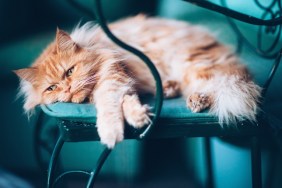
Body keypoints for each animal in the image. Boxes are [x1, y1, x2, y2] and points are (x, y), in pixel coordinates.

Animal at [13, 14, 260, 148]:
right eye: (52, 88)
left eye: (70, 71)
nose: (67, 88)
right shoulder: (123, 83)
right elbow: (126, 101)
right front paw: (138, 115)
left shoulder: (112, 77)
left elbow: (109, 107)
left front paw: (111, 133)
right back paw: (169, 89)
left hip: (192, 65)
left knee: (222, 84)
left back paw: (198, 100)